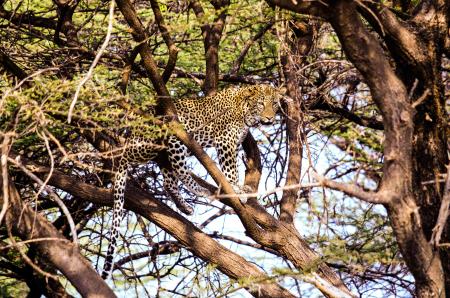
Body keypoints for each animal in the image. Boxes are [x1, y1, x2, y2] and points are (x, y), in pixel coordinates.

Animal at [100, 84, 286, 280]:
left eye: (275, 104)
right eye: (261, 104)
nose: (270, 118)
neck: (245, 110)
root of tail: (133, 132)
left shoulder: (234, 144)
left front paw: (241, 188)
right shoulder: (225, 141)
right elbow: (230, 171)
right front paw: (236, 190)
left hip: (165, 153)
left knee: (169, 182)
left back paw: (184, 207)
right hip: (169, 140)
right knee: (165, 166)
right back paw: (200, 190)